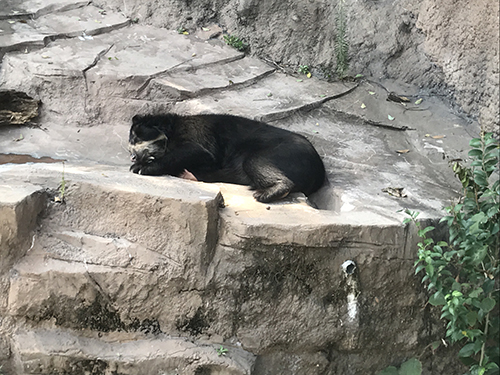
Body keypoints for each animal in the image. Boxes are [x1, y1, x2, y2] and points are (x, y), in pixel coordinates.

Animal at [127, 114, 326, 204]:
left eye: (136, 138)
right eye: (131, 145)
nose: (133, 157)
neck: (170, 132)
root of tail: (319, 171)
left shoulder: (197, 134)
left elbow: (197, 151)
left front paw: (141, 167)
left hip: (282, 151)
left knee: (255, 163)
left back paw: (266, 193)